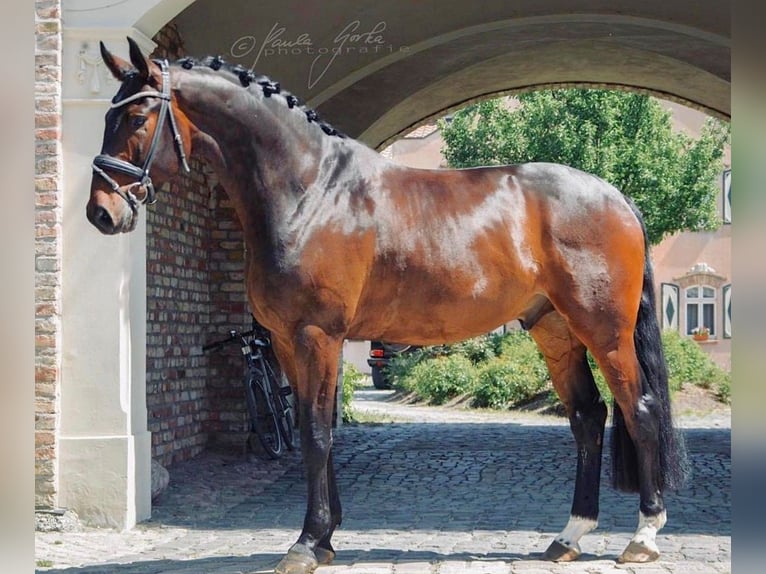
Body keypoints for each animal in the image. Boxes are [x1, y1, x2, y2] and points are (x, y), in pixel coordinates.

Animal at [87, 38, 687, 573]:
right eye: (109, 115)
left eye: (137, 116)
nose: (101, 212)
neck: (311, 190)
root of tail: (616, 197)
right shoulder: (286, 340)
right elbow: (316, 428)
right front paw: (327, 537)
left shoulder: (317, 335)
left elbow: (315, 433)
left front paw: (306, 543)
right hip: (555, 330)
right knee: (588, 417)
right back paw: (569, 537)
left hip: (604, 331)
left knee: (640, 411)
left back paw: (643, 537)